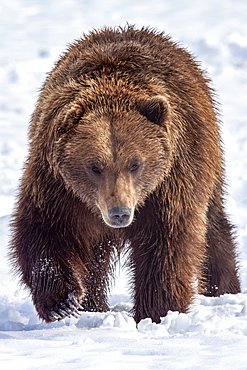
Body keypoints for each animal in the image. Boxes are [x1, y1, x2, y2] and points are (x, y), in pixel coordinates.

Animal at [9, 26, 239, 324]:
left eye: (135, 164)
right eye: (94, 166)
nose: (119, 213)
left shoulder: (169, 185)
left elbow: (167, 245)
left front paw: (156, 311)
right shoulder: (58, 185)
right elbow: (46, 230)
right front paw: (63, 301)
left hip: (207, 157)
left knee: (213, 227)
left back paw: (223, 289)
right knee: (94, 256)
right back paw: (93, 305)